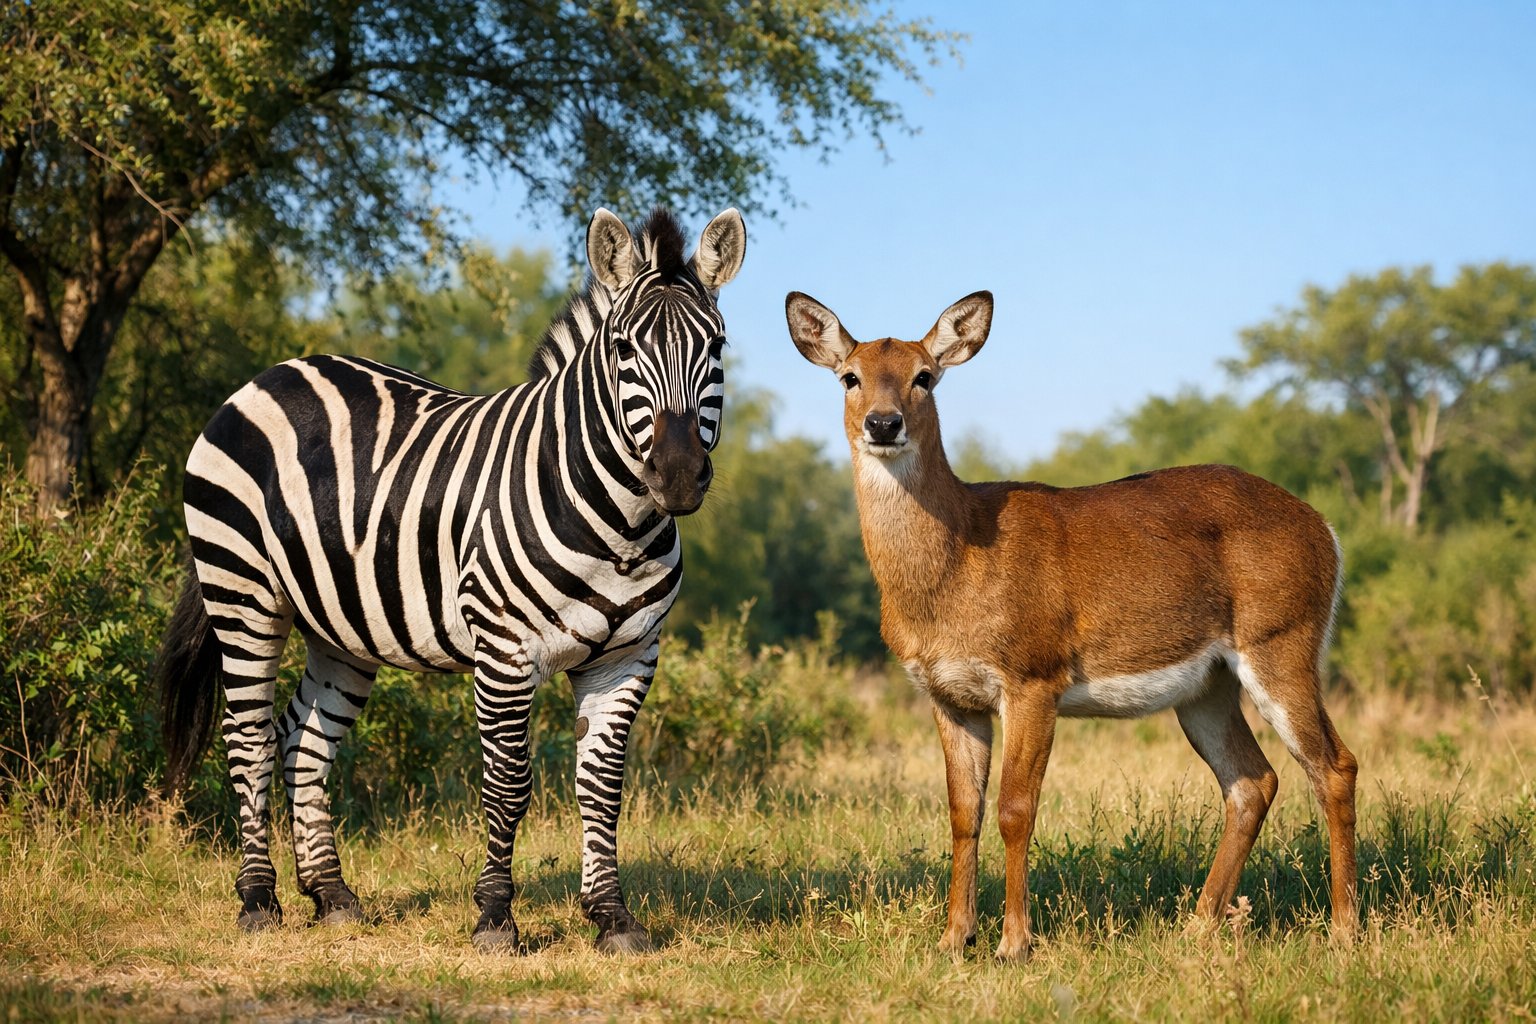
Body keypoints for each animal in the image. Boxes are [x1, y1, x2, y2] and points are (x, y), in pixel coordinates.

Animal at [157, 207, 746, 953]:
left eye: (717, 348)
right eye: (622, 351)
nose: (676, 475)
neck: (621, 529)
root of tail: (271, 374)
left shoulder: (628, 657)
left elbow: (603, 786)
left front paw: (612, 917)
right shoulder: (504, 650)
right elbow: (508, 784)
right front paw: (495, 918)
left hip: (341, 628)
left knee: (303, 740)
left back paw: (330, 894)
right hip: (244, 593)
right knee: (249, 741)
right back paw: (259, 900)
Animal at [785, 289, 1358, 961]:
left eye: (925, 376)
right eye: (849, 376)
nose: (883, 423)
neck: (957, 562)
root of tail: (1325, 530)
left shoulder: (1033, 676)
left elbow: (1015, 808)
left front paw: (1013, 943)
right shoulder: (949, 694)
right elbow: (962, 812)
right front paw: (954, 938)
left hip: (1282, 643)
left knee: (1333, 766)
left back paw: (1345, 930)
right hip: (1208, 686)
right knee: (1252, 781)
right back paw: (1196, 927)